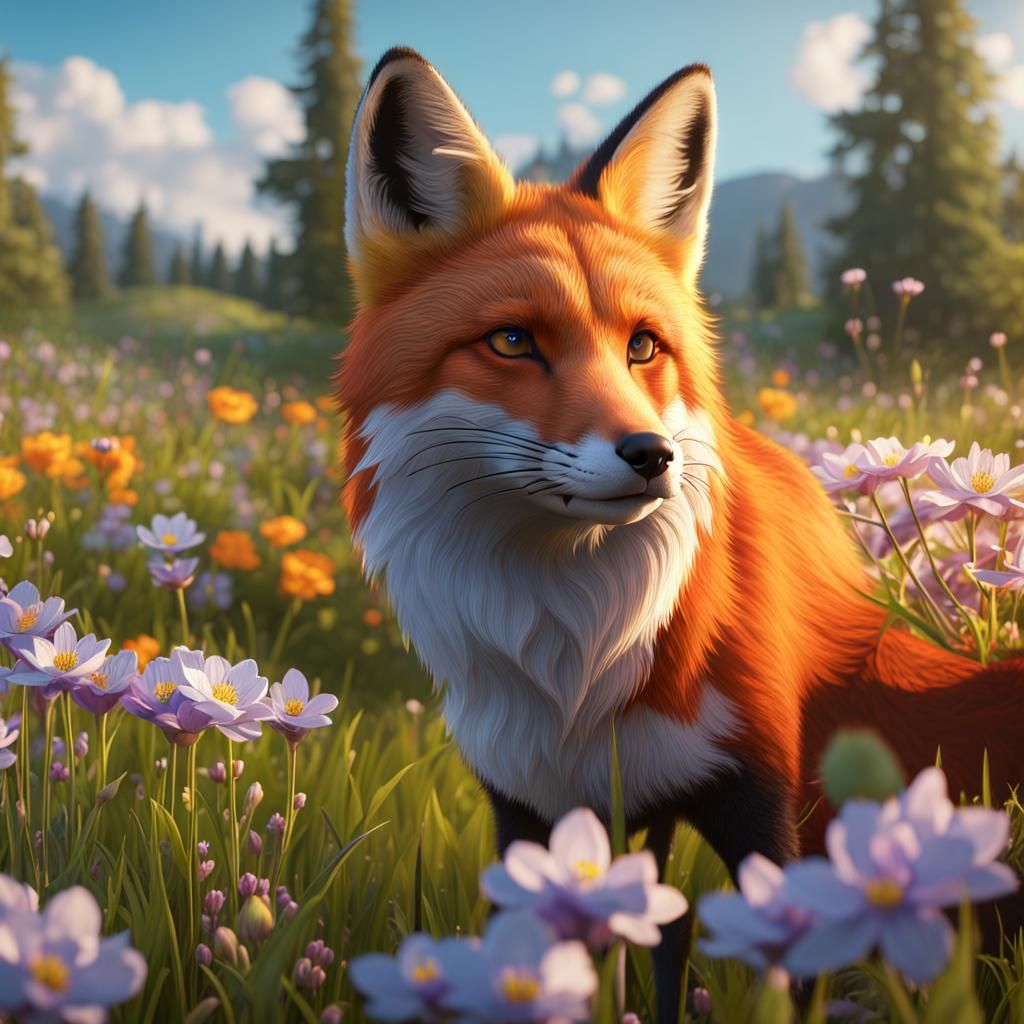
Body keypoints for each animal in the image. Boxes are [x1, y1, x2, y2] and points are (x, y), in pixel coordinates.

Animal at [336, 48, 1024, 1020]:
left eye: (643, 347)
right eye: (512, 342)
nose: (650, 455)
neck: (577, 659)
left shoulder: (758, 792)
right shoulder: (530, 808)